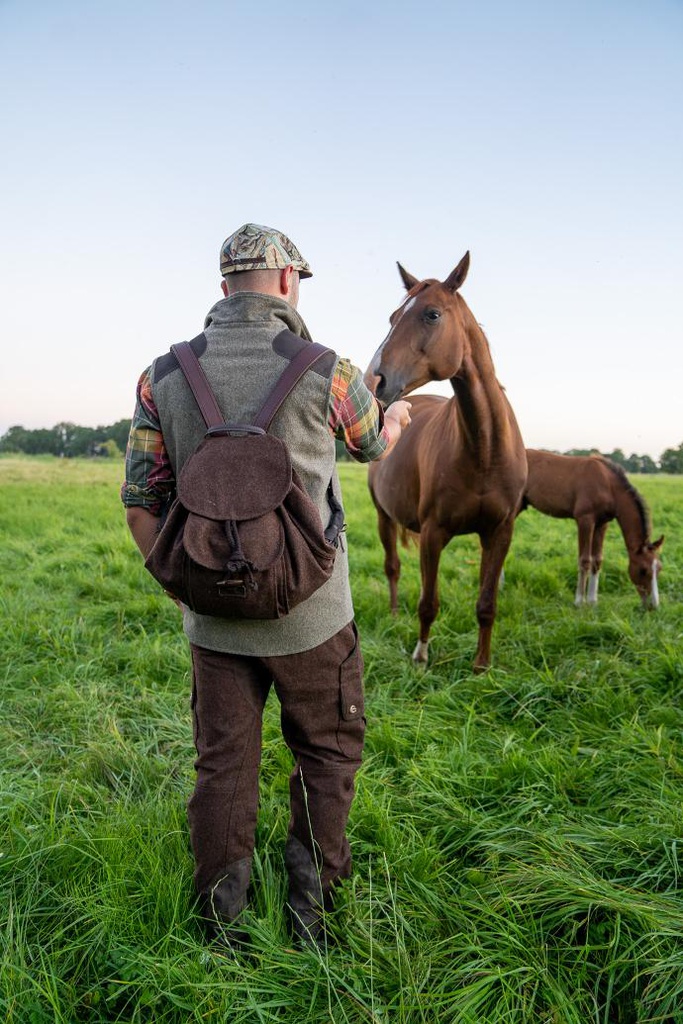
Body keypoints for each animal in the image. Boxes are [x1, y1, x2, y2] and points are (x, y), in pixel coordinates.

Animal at [366, 252, 528, 671]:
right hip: (383, 516)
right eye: (392, 317)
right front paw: (421, 656)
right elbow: (428, 602)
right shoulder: (433, 532)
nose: (373, 382)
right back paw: (393, 613)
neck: (484, 451)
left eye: (432, 314)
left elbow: (487, 604)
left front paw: (481, 665)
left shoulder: (500, 533)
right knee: (393, 566)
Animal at [520, 450, 663, 606]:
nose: (653, 605)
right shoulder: (585, 520)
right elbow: (585, 560)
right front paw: (579, 602)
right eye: (643, 570)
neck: (608, 486)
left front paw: (592, 601)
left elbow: (597, 560)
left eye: (659, 569)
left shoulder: (602, 524)